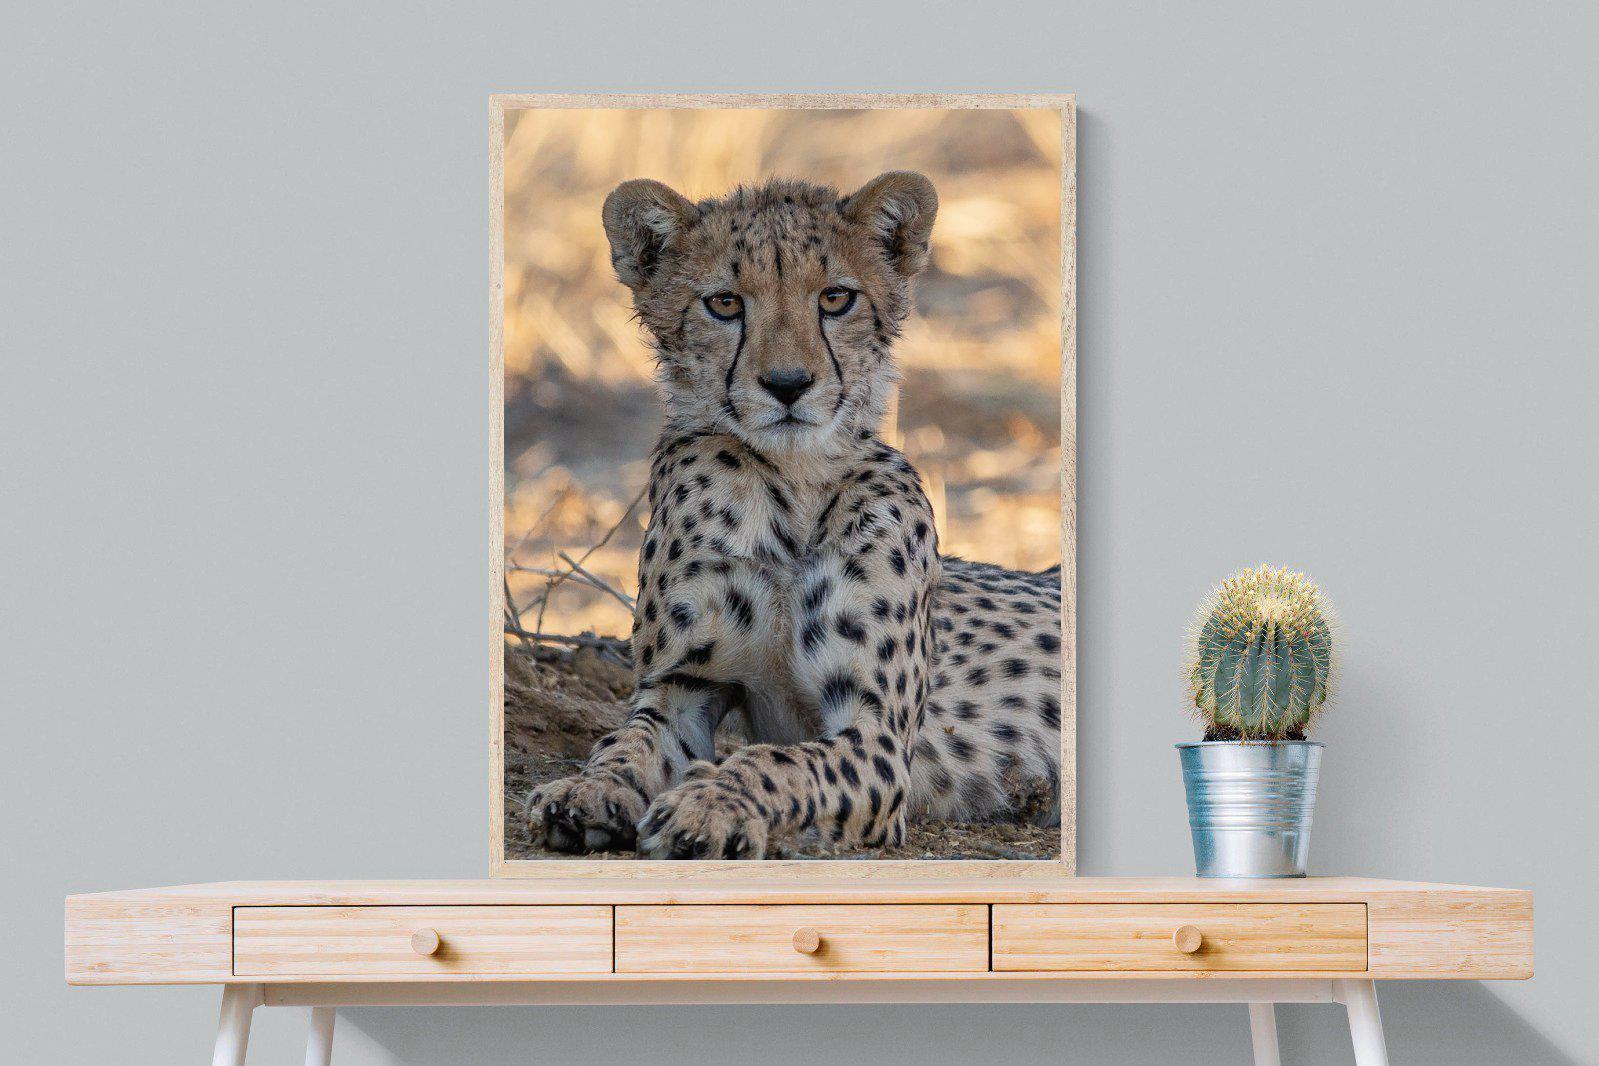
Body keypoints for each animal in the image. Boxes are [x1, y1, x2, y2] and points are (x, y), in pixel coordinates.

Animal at [528, 170, 1063, 860]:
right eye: (725, 303)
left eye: (836, 298)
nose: (788, 384)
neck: (792, 488)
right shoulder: (681, 687)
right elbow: (627, 742)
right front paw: (588, 789)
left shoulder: (878, 736)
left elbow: (779, 763)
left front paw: (710, 804)